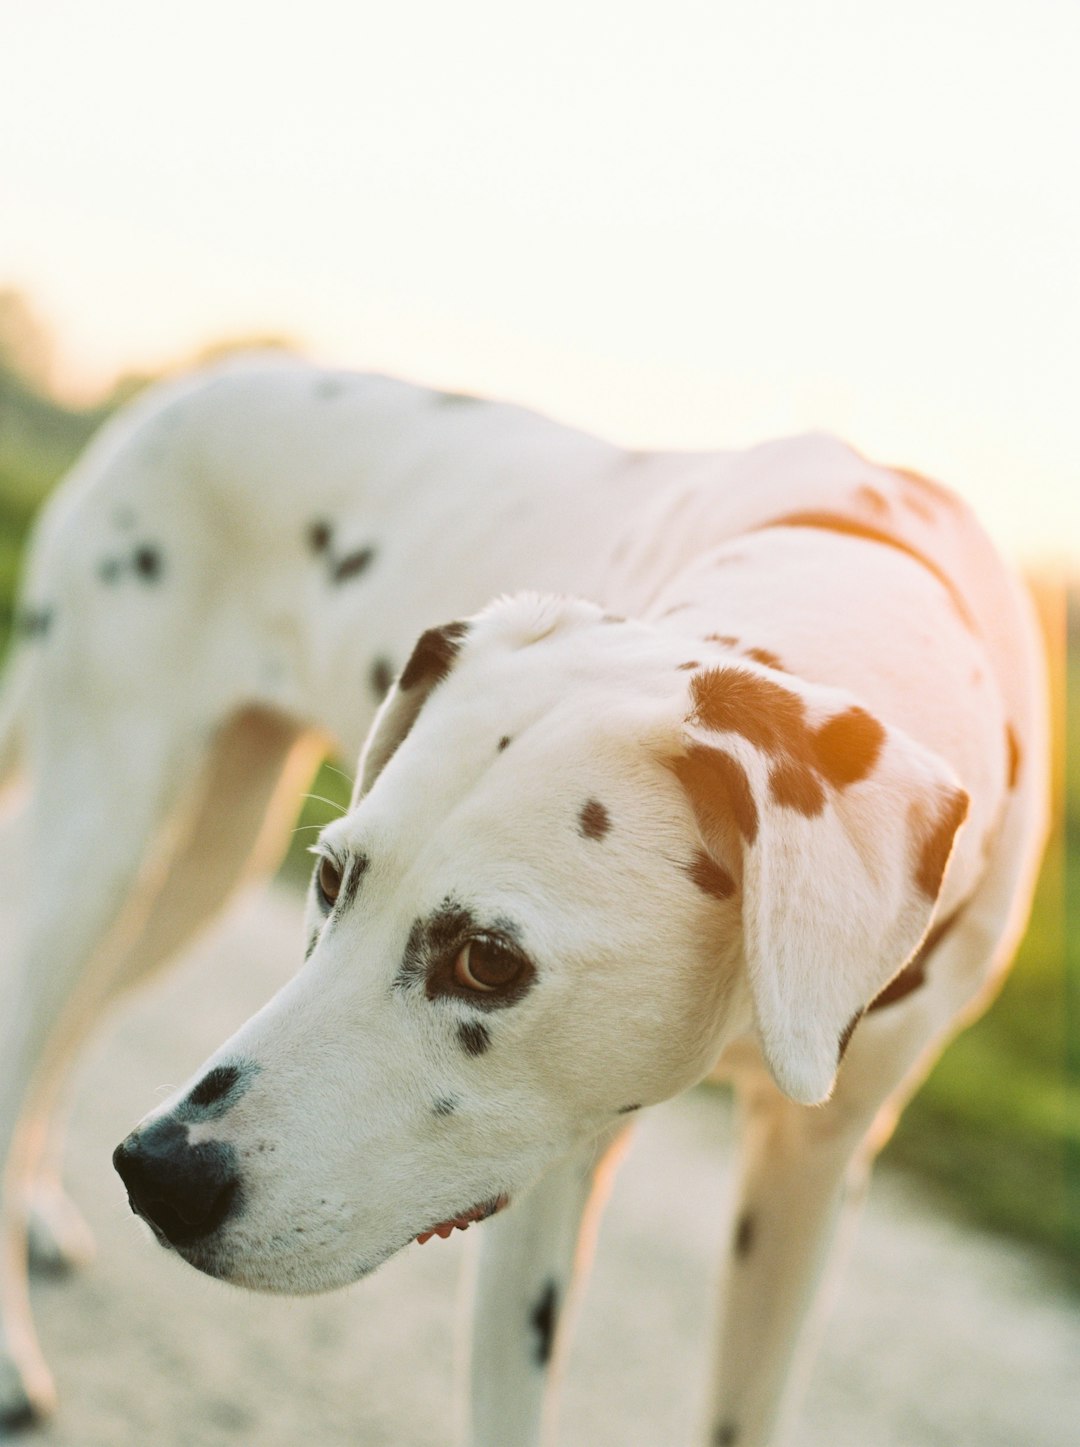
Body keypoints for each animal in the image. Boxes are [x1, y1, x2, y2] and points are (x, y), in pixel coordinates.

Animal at [0, 355, 1042, 1441]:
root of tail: (193, 381)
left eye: (489, 961)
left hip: (207, 866)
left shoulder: (814, 1171)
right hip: (104, 834)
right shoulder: (554, 1169)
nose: (161, 1173)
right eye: (333, 879)